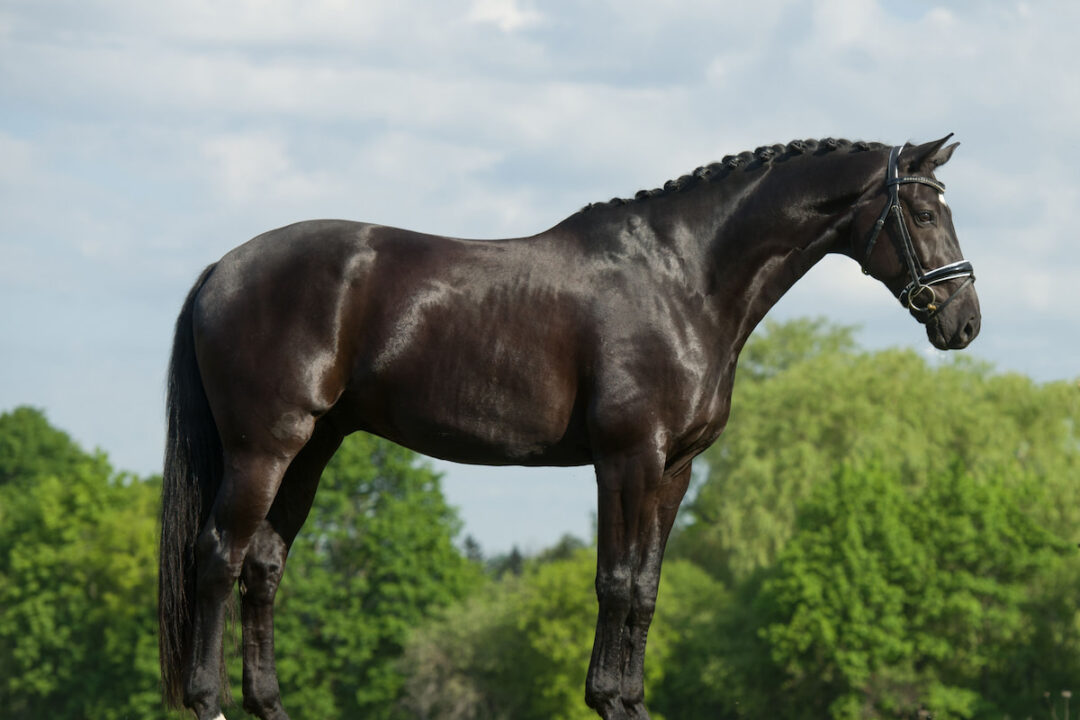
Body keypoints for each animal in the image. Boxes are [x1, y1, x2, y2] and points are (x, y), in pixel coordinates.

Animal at [159, 136, 979, 720]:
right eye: (924, 214)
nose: (964, 322)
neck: (683, 279)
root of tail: (220, 270)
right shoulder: (628, 457)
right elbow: (614, 583)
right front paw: (608, 700)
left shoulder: (674, 469)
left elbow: (646, 589)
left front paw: (632, 701)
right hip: (266, 447)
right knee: (219, 557)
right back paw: (208, 702)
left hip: (313, 448)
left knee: (264, 567)